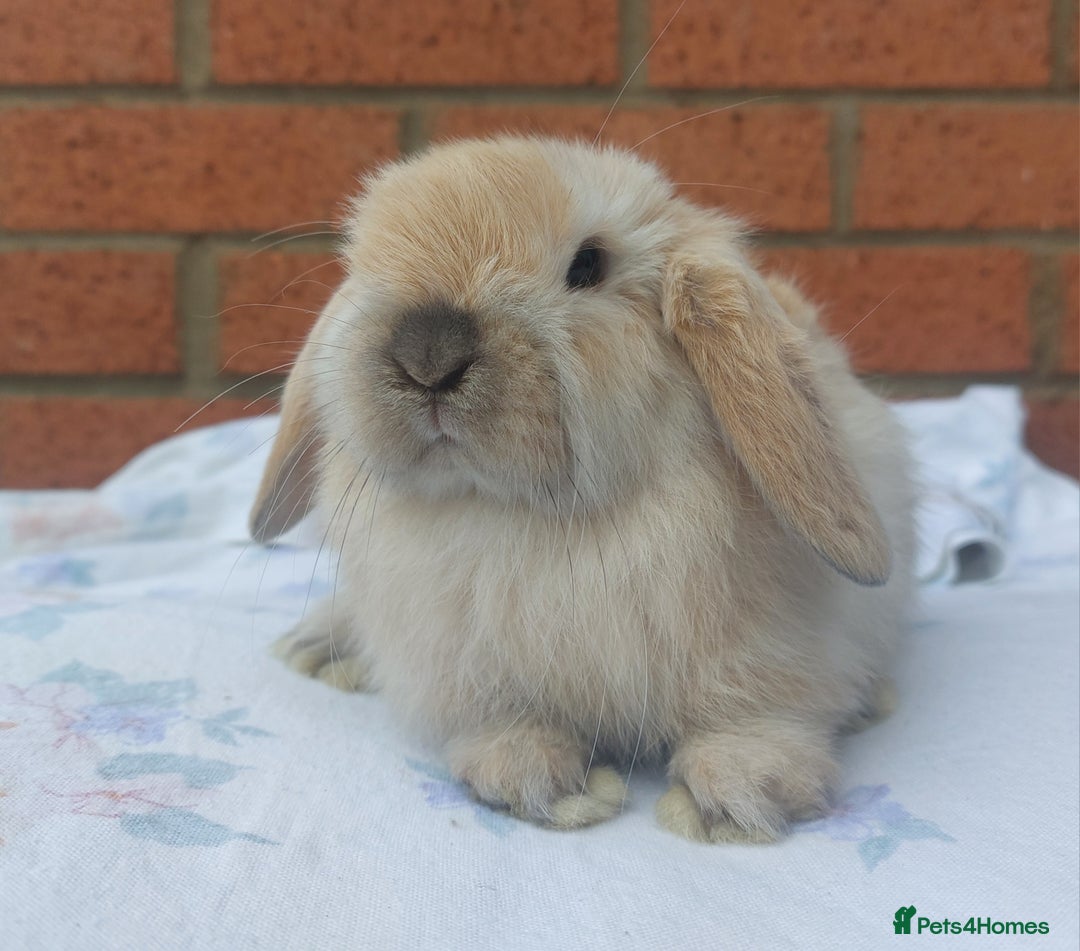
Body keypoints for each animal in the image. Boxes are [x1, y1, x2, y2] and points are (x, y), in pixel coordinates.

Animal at [250, 136, 914, 843]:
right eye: (366, 263)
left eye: (589, 265)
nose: (427, 354)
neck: (522, 517)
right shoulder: (467, 669)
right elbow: (502, 723)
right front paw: (542, 780)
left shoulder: (776, 651)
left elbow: (758, 715)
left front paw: (732, 798)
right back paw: (316, 646)